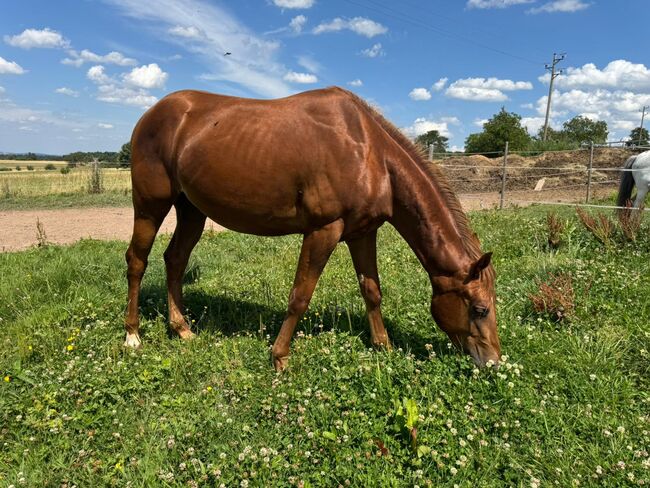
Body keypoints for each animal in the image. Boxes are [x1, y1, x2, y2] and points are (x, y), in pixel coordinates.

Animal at [124, 87, 501, 370]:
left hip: (191, 211)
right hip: (150, 205)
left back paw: (181, 328)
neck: (370, 153)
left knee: (175, 260)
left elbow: (371, 291)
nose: (493, 363)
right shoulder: (324, 231)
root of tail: (152, 112)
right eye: (479, 309)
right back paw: (132, 336)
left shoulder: (362, 233)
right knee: (137, 262)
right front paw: (279, 357)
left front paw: (383, 347)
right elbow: (300, 296)